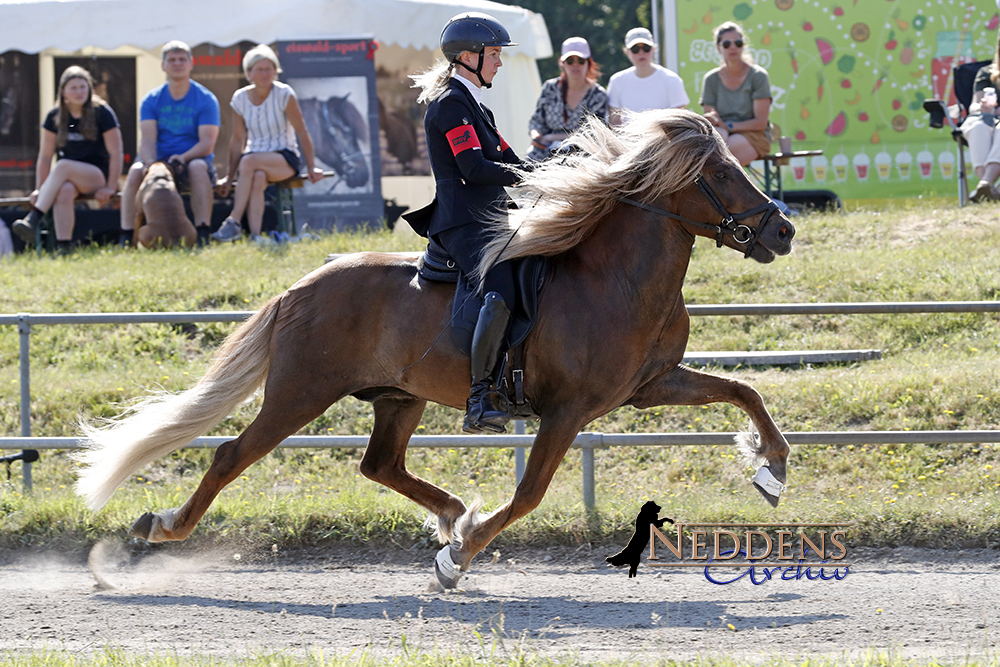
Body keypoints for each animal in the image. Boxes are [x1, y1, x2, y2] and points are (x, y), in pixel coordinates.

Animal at [74, 109, 796, 588]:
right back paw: (159, 529)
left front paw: (772, 470)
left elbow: (745, 390)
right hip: (300, 393)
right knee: (231, 454)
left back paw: (452, 511)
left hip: (398, 398)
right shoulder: (568, 412)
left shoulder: (649, 386)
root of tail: (300, 286)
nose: (783, 229)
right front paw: (457, 560)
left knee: (379, 465)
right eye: (720, 173)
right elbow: (529, 493)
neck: (614, 279)